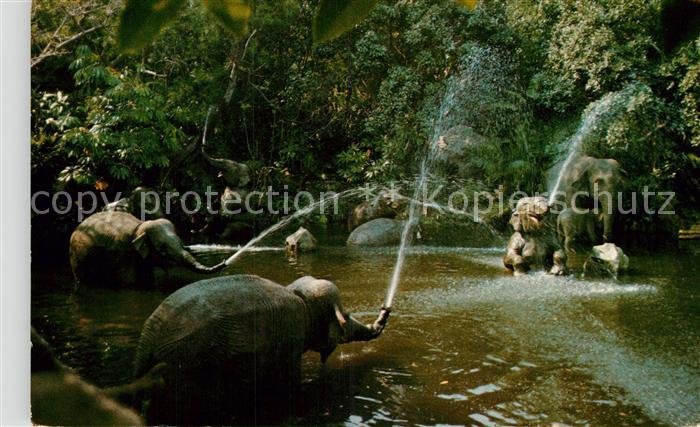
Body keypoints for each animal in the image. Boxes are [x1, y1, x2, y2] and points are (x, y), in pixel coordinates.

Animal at [69, 211, 225, 288]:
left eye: (181, 242)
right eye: (162, 249)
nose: (224, 262)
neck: (139, 227)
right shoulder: (121, 253)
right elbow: (128, 282)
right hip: (76, 258)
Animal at [133, 274, 390, 424]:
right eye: (345, 315)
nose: (385, 309)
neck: (297, 294)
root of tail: (149, 338)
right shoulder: (291, 338)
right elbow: (288, 381)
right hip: (190, 361)